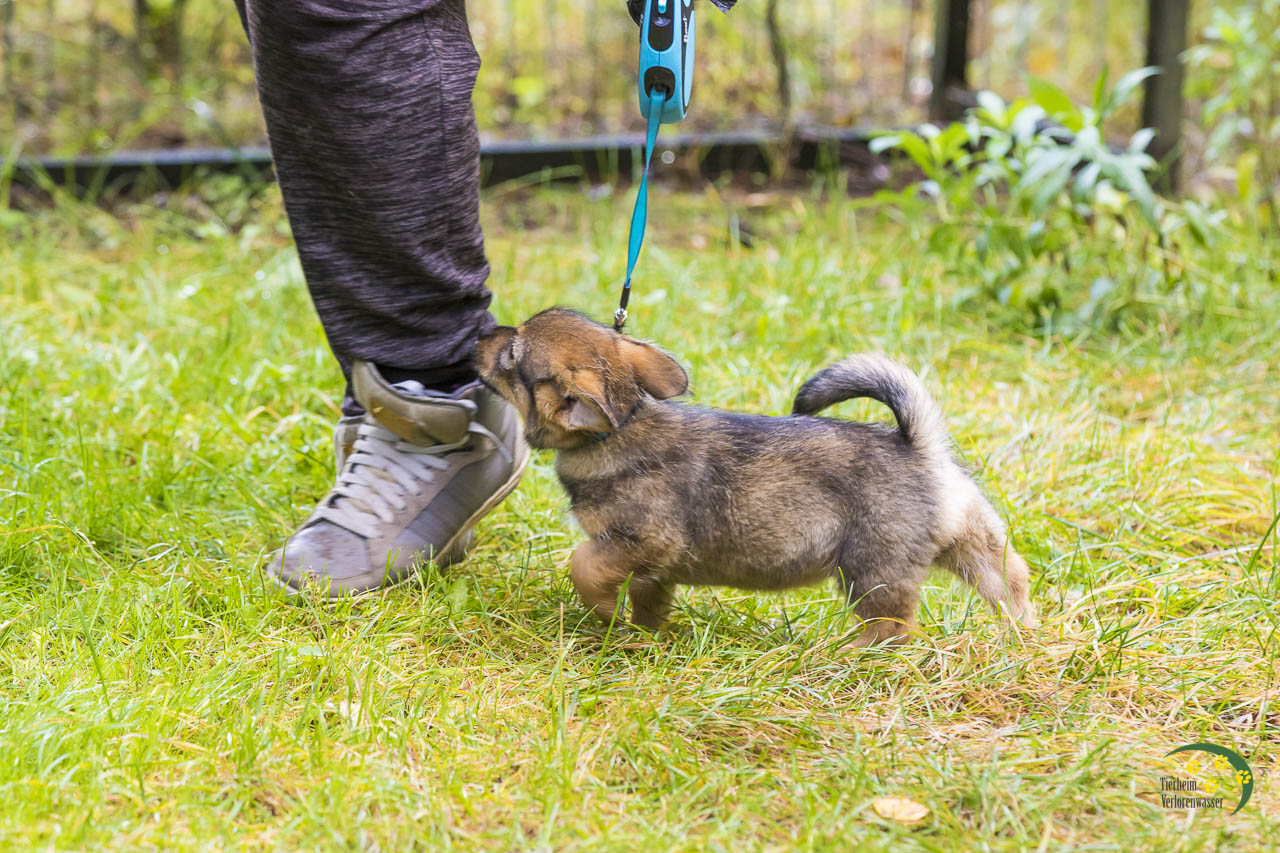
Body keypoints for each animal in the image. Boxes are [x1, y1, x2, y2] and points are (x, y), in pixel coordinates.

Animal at [475, 309, 1036, 644]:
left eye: (511, 357)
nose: (482, 333)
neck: (622, 426)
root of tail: (919, 446)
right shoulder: (652, 567)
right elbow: (647, 600)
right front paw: (647, 638)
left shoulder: (639, 540)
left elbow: (584, 565)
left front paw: (605, 614)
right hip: (972, 543)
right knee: (1009, 581)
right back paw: (1023, 638)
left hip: (872, 570)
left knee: (892, 625)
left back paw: (853, 654)